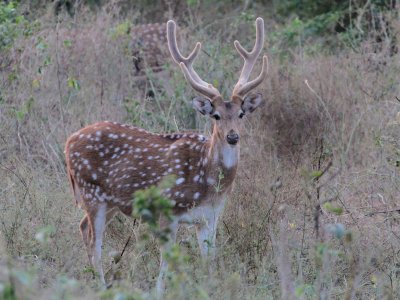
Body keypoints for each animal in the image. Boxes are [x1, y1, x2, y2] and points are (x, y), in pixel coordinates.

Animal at [64, 17, 268, 292]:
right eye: (216, 116)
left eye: (241, 114)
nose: (233, 136)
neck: (207, 183)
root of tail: (68, 142)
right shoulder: (167, 210)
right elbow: (166, 265)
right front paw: (159, 292)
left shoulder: (210, 217)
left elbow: (209, 262)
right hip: (90, 191)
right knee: (93, 242)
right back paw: (101, 286)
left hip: (110, 202)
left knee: (83, 226)